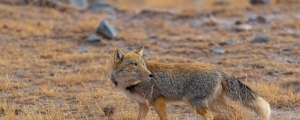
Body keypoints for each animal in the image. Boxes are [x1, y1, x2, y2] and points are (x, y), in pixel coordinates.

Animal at [109, 46, 270, 119]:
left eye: (143, 64)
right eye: (134, 64)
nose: (150, 74)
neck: (130, 84)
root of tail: (218, 70)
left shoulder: (157, 101)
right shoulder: (143, 104)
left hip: (197, 105)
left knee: (212, 116)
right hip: (214, 104)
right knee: (234, 112)